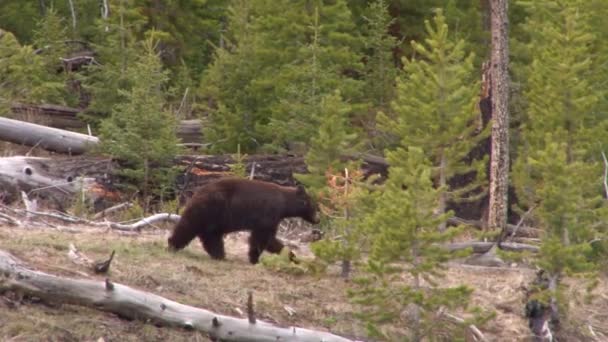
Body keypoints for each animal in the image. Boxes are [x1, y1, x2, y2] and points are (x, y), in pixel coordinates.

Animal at [166, 178, 318, 264]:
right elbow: (261, 238)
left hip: (216, 218)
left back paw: (219, 255)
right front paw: (254, 259)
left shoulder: (271, 219)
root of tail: (197, 192)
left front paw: (293, 257)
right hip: (210, 208)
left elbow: (270, 240)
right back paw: (172, 245)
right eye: (314, 207)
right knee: (189, 226)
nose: (317, 220)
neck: (284, 204)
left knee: (211, 236)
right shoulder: (268, 214)